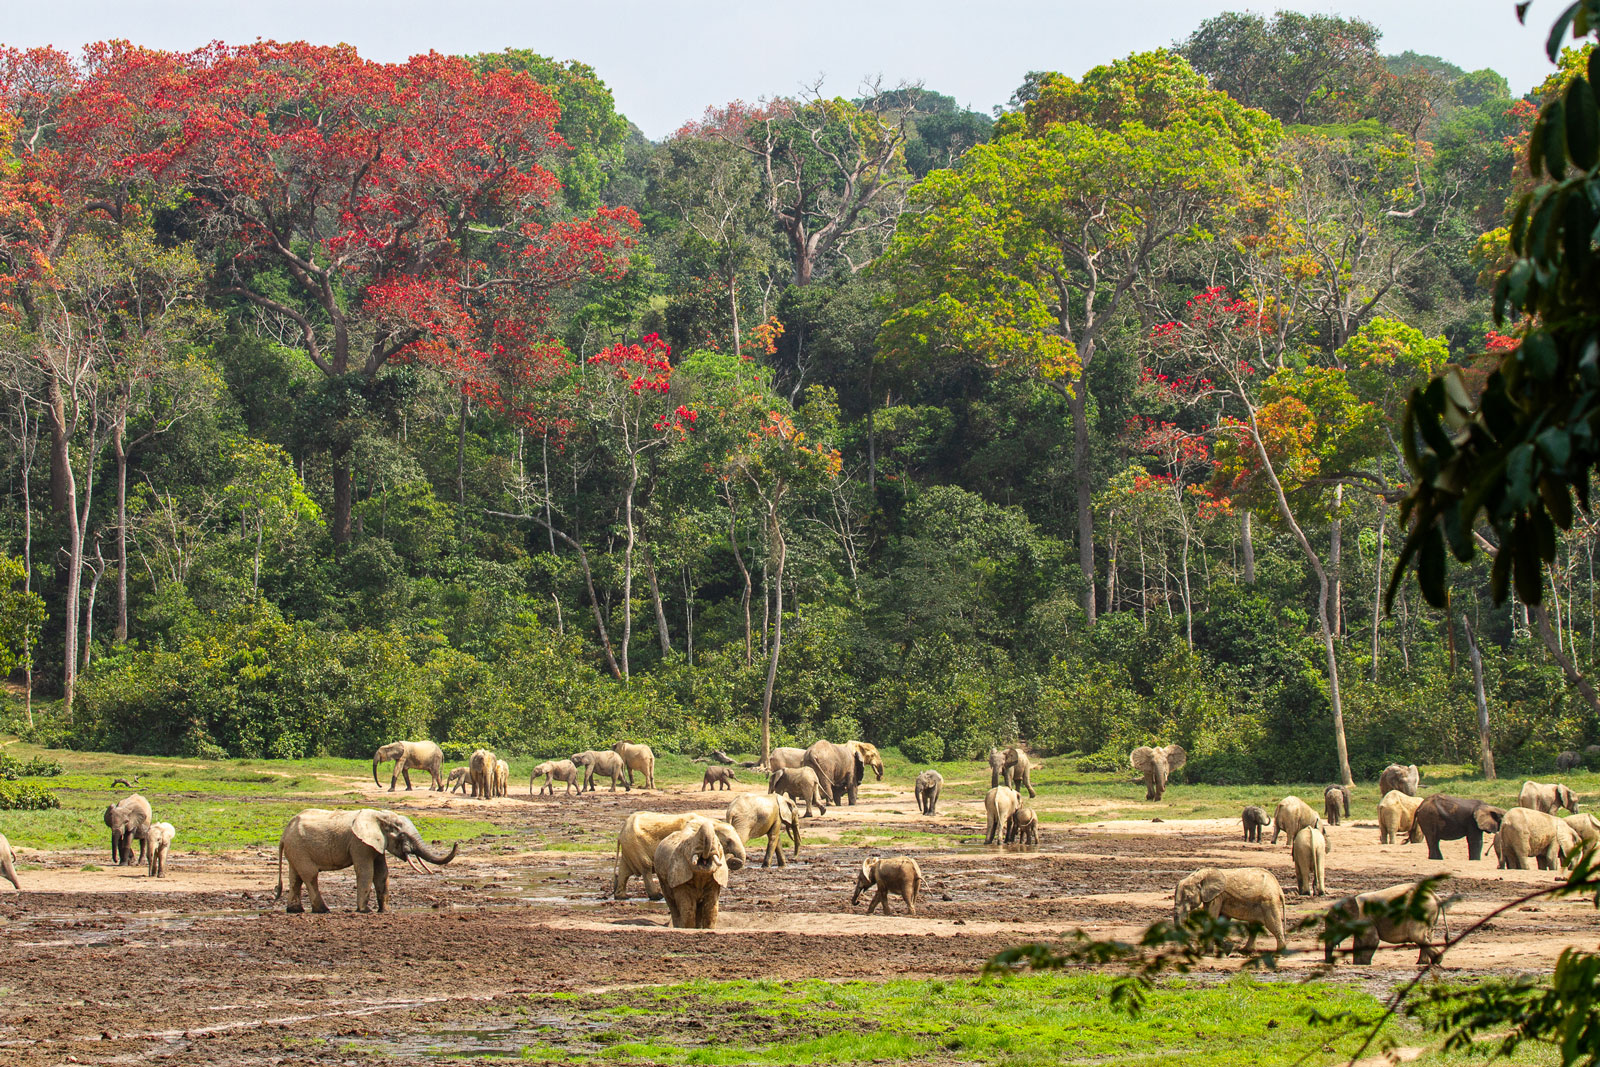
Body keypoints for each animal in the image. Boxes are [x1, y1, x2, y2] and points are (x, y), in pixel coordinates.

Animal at [275, 812, 457, 915]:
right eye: (402, 835)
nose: (456, 843)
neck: (381, 816)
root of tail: (283, 834)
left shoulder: (377, 843)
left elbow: (382, 873)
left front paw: (385, 911)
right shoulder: (359, 843)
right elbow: (366, 871)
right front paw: (365, 911)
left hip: (295, 848)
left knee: (295, 877)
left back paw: (295, 910)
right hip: (299, 847)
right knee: (310, 876)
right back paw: (323, 910)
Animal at [617, 809, 755, 902]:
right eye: (729, 841)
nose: (733, 859)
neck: (712, 822)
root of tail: (622, 830)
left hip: (630, 846)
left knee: (624, 870)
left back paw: (622, 897)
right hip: (635, 844)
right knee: (645, 866)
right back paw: (656, 897)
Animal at [1318, 883, 1446, 966]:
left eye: (1334, 924)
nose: (1329, 962)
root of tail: (1435, 896)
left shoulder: (1365, 919)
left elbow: (1371, 941)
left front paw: (1363, 965)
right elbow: (1359, 942)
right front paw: (1357, 964)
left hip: (1421, 912)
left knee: (1417, 936)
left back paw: (1436, 961)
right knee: (1427, 936)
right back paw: (1422, 963)